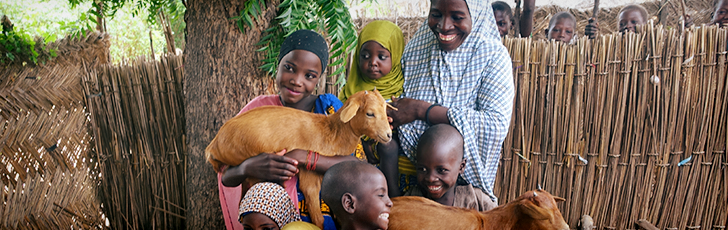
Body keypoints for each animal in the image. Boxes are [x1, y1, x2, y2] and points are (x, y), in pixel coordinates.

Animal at [205, 89, 392, 228]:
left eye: (385, 110)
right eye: (369, 113)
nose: (389, 135)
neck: (332, 133)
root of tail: (213, 146)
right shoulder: (309, 178)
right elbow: (318, 218)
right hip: (252, 166)